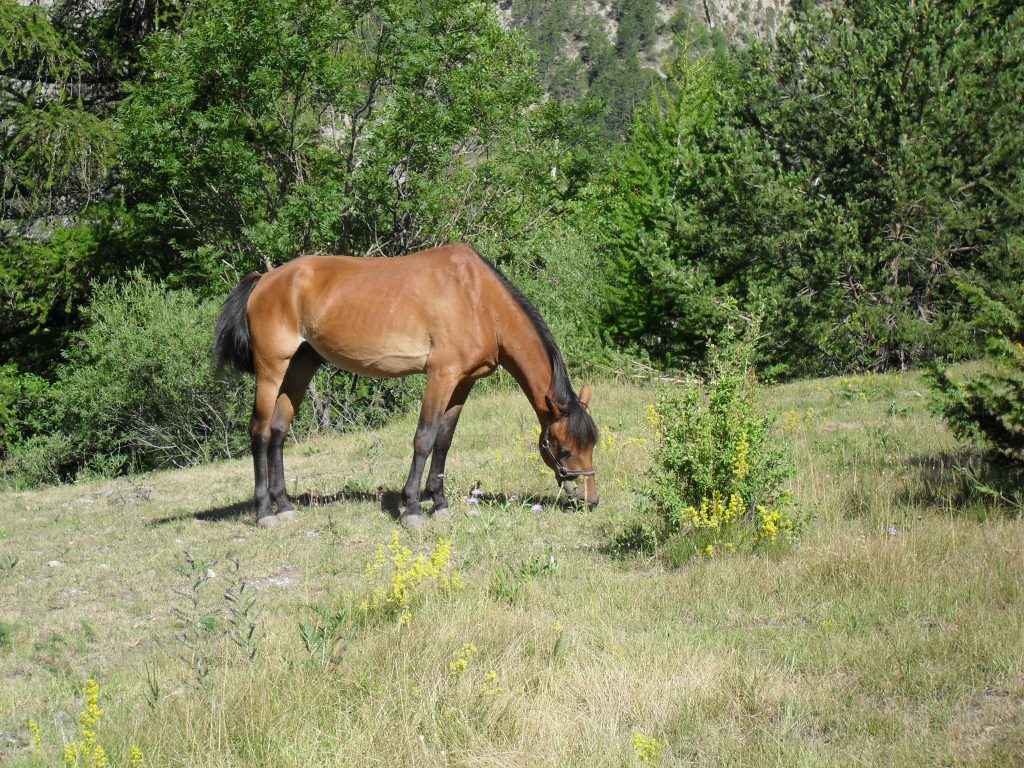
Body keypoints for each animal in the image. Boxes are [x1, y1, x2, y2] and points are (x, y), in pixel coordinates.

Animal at [213, 242, 599, 530]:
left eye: (591, 446)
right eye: (564, 450)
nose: (590, 499)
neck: (477, 299)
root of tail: (264, 279)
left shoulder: (464, 382)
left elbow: (444, 440)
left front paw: (439, 503)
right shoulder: (441, 375)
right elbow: (424, 438)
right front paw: (411, 508)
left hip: (300, 365)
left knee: (278, 431)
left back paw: (285, 505)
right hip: (271, 368)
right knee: (260, 431)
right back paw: (264, 512)